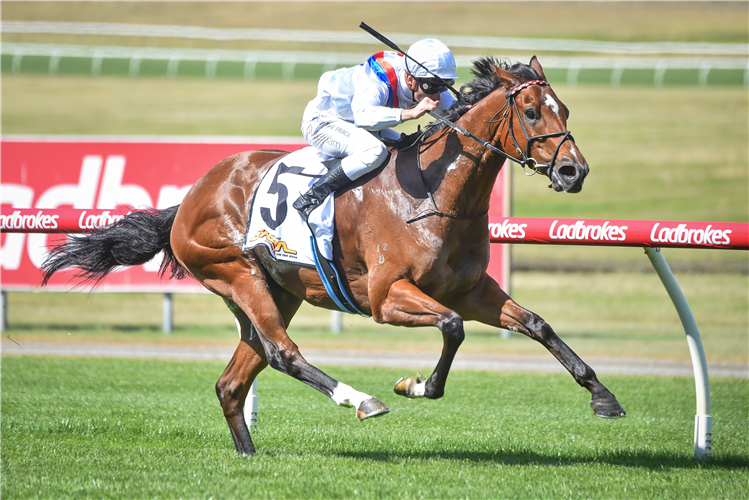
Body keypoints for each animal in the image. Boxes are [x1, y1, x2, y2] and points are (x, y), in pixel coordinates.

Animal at [42, 56, 624, 456]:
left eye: (564, 109)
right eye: (530, 111)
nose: (574, 171)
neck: (434, 192)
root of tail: (191, 197)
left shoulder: (470, 289)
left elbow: (537, 324)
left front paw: (603, 396)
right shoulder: (389, 297)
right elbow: (453, 329)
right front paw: (415, 384)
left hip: (275, 290)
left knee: (235, 379)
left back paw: (249, 453)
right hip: (234, 271)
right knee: (283, 353)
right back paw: (360, 399)